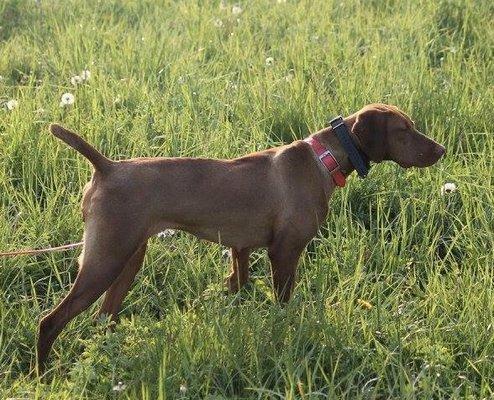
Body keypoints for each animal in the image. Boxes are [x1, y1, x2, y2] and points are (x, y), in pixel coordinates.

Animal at [36, 103, 446, 372]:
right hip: (105, 261)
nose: (442, 150)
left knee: (103, 319)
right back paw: (43, 375)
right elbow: (282, 308)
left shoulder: (241, 249)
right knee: (50, 322)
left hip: (128, 259)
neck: (323, 157)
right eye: (403, 130)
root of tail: (106, 167)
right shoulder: (284, 253)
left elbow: (235, 283)